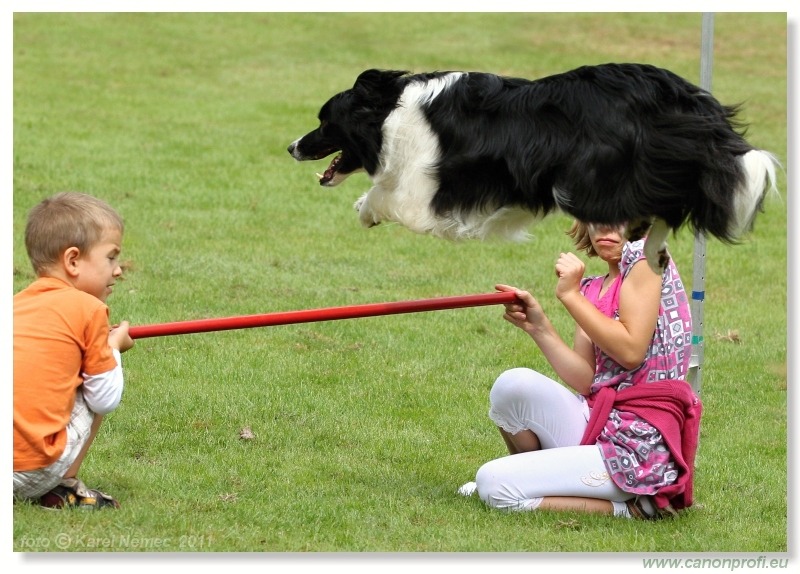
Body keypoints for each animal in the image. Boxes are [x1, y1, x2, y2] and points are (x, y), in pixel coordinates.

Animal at [286, 64, 776, 276]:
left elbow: (383, 196)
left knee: (661, 205)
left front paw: (364, 210)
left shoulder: (423, 196)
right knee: (667, 208)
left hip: (586, 182)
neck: (389, 113)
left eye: (324, 122)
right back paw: (653, 250)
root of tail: (678, 95)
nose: (291, 146)